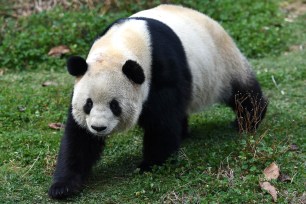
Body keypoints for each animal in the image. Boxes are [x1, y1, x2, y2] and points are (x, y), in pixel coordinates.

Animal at [49, 4, 266, 199]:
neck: (121, 44)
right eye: (88, 104)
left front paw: (149, 164)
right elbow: (78, 137)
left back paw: (248, 120)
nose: (98, 128)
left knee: (243, 93)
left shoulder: (161, 70)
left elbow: (162, 121)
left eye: (114, 105)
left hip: (222, 63)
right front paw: (63, 187)